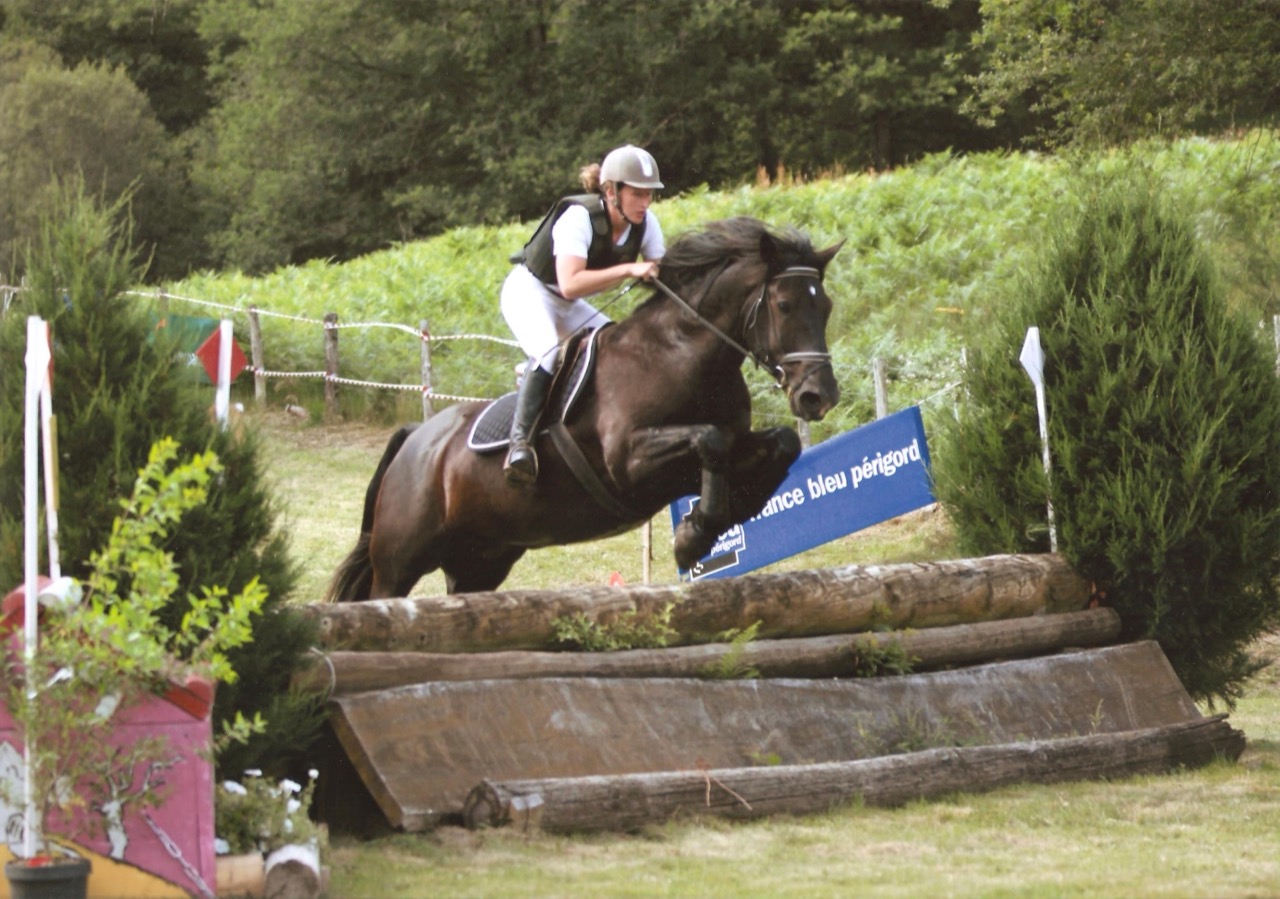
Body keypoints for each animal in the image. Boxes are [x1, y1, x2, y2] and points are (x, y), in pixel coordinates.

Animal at [325, 215, 844, 601]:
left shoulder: (728, 446)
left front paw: (711, 524)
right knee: (381, 598)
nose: (819, 397)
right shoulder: (627, 461)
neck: (681, 352)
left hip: (481, 558)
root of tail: (415, 438)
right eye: (783, 305)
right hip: (401, 560)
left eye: (826, 307)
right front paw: (692, 537)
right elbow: (708, 439)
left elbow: (780, 444)